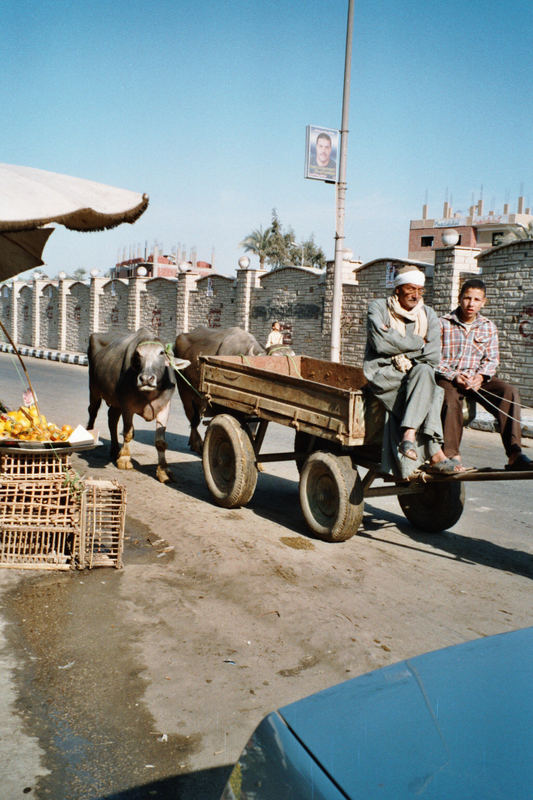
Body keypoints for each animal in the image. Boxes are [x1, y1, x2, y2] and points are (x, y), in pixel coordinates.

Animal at [90, 324, 191, 482]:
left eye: (161, 353)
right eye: (138, 355)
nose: (146, 379)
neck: (149, 394)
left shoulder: (164, 407)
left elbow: (160, 441)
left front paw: (164, 470)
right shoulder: (127, 406)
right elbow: (128, 433)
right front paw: (124, 459)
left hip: (115, 401)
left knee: (112, 418)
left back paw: (115, 449)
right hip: (94, 388)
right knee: (92, 411)